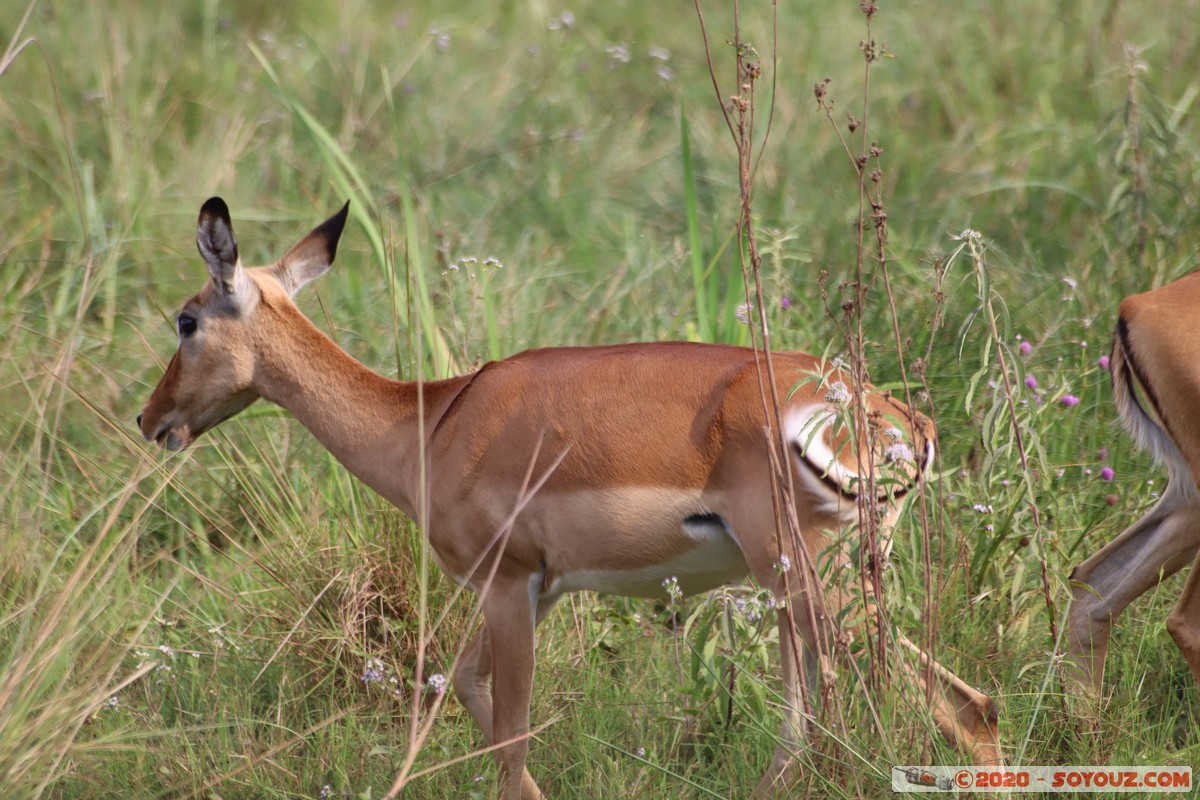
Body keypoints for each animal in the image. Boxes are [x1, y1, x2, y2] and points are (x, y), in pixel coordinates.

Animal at [138, 198, 1001, 798]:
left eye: (185, 319)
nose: (152, 420)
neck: (433, 423)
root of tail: (893, 416)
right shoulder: (538, 589)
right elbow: (467, 691)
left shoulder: (506, 584)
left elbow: (509, 742)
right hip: (807, 587)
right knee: (818, 728)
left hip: (809, 578)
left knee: (957, 707)